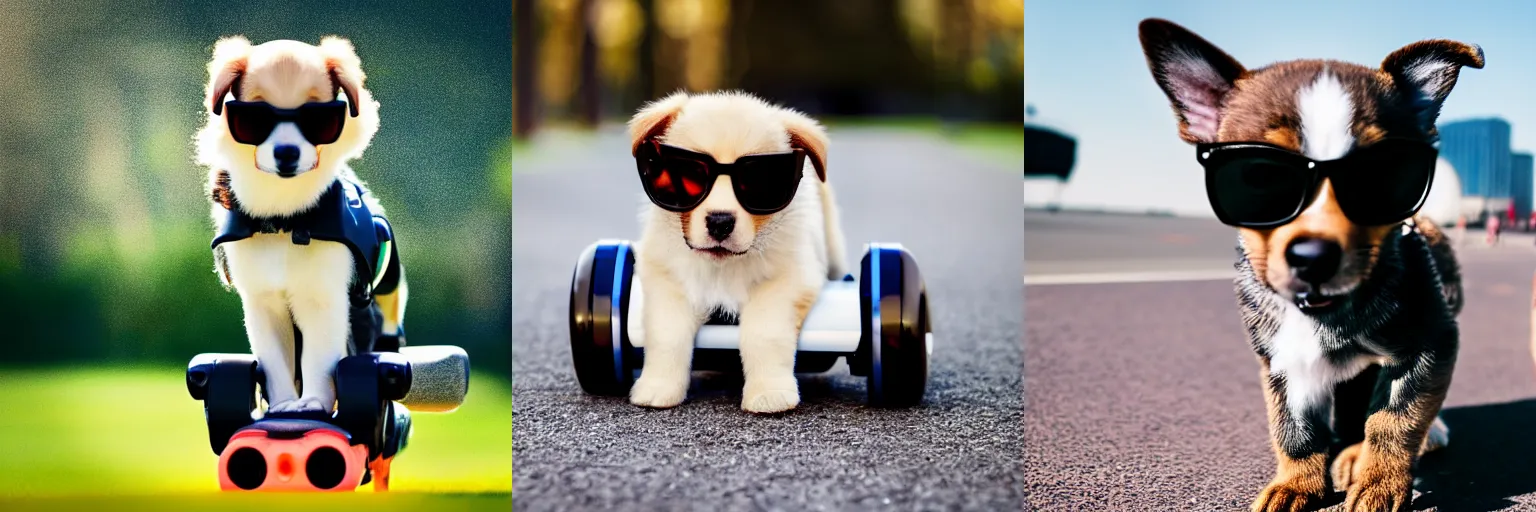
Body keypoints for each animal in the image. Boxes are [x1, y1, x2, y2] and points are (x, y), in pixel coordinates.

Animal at [193, 35, 402, 412]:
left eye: (318, 118)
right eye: (254, 118)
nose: (287, 153)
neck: (284, 221)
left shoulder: (323, 298)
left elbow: (319, 360)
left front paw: (313, 403)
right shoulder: (263, 303)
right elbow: (277, 363)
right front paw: (283, 406)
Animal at [623, 90, 854, 412]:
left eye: (760, 182)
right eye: (689, 175)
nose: (720, 222)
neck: (723, 267)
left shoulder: (787, 281)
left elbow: (763, 334)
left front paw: (769, 393)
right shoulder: (667, 280)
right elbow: (667, 335)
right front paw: (659, 388)